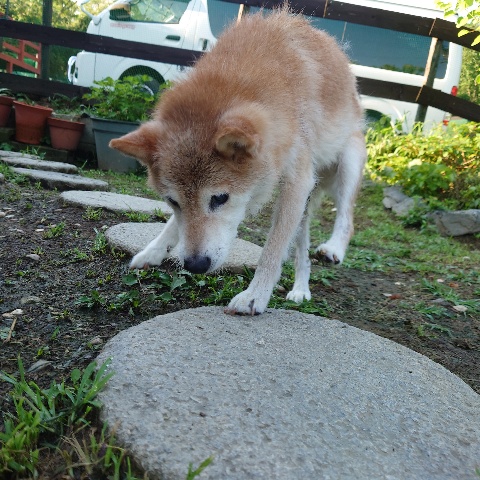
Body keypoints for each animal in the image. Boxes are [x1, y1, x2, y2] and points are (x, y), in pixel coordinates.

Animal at [110, 8, 367, 315]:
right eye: (172, 201)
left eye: (220, 198)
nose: (196, 265)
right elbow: (174, 224)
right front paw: (153, 251)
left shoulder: (297, 181)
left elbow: (272, 249)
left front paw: (254, 296)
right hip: (306, 202)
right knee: (302, 250)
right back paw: (300, 289)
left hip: (344, 167)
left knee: (346, 219)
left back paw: (334, 249)